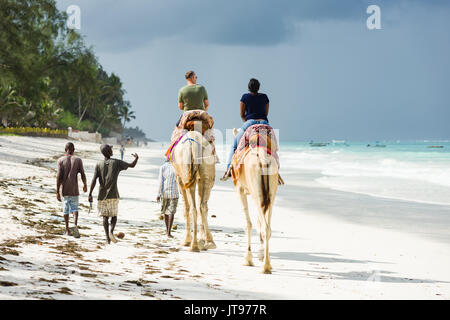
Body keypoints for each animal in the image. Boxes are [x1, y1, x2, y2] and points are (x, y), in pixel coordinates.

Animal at [232, 127, 278, 272]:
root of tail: (263, 159)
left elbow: (248, 224)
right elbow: (258, 223)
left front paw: (248, 258)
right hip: (270, 193)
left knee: (264, 227)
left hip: (255, 190)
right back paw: (267, 264)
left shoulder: (240, 190)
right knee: (267, 227)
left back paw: (265, 267)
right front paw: (260, 254)